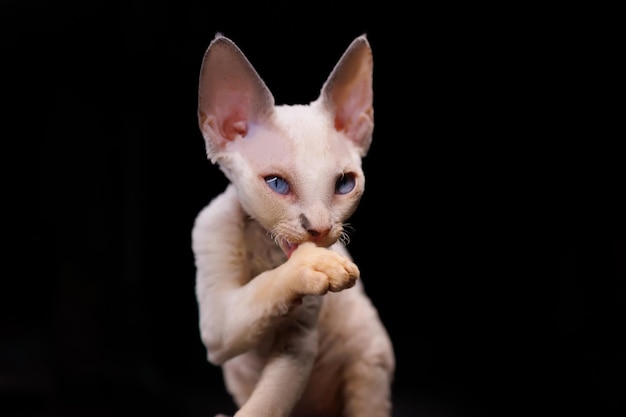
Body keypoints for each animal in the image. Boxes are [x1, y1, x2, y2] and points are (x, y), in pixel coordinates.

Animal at [193, 33, 392, 416]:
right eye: (276, 184)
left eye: (345, 184)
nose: (319, 228)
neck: (267, 252)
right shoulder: (215, 315)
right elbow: (255, 298)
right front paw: (308, 265)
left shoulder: (299, 343)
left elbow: (269, 401)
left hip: (369, 360)